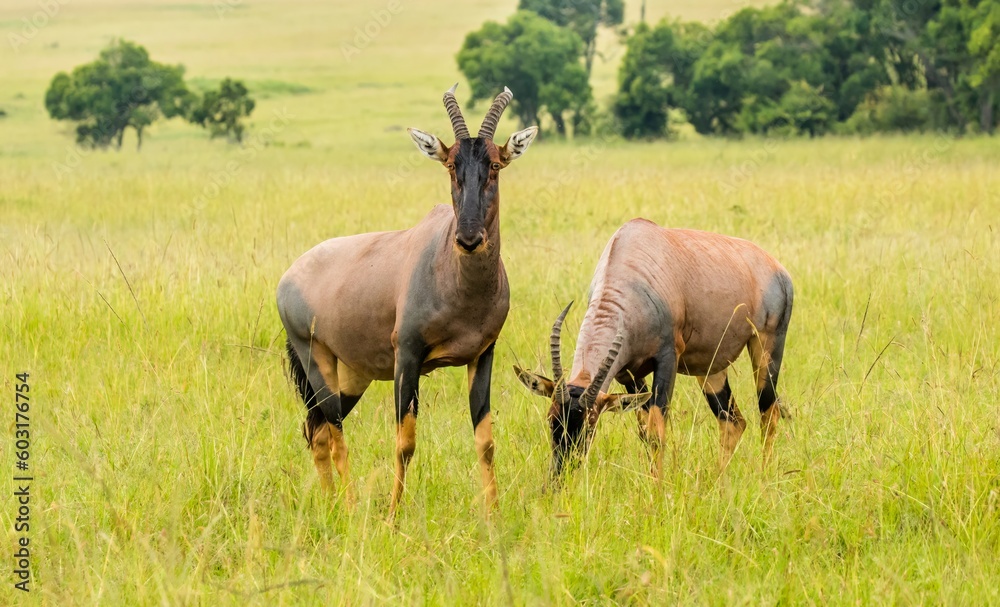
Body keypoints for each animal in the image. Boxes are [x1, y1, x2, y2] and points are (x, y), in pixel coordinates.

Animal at [277, 85, 538, 517]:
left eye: (496, 165)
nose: (469, 238)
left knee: (315, 430)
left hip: (353, 374)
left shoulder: (483, 355)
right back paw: (351, 508)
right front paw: (392, 517)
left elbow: (485, 440)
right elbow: (405, 442)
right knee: (334, 430)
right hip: (316, 360)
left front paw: (494, 516)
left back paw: (331, 506)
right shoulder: (408, 357)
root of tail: (289, 275)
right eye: (450, 165)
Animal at [515, 218, 793, 479]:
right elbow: (644, 431)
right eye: (551, 419)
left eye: (590, 423)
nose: (558, 478)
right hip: (711, 370)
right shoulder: (627, 374)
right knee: (733, 422)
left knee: (768, 414)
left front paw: (658, 488)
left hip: (767, 348)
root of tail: (779, 270)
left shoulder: (667, 359)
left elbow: (657, 432)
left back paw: (763, 478)